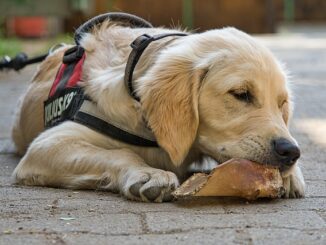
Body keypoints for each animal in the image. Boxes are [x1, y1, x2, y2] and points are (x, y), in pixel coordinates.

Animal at [10, 20, 306, 201]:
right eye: (241, 94)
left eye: (282, 104)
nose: (291, 152)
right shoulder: (48, 144)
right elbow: (121, 152)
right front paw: (147, 174)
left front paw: (292, 176)